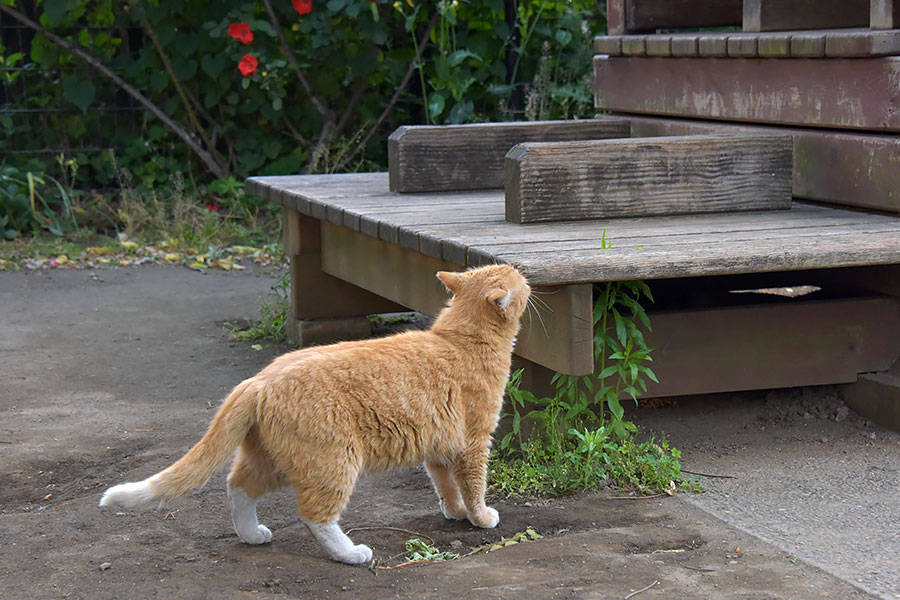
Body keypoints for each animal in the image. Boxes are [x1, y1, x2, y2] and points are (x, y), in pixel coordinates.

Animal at [101, 264, 532, 564]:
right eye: (517, 278)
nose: (525, 273)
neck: (459, 338)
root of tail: (258, 379)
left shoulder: (439, 448)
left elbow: (447, 488)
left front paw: (454, 513)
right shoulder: (473, 442)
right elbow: (473, 486)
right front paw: (480, 517)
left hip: (273, 460)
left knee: (237, 486)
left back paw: (252, 535)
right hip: (334, 461)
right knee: (314, 516)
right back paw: (351, 553)